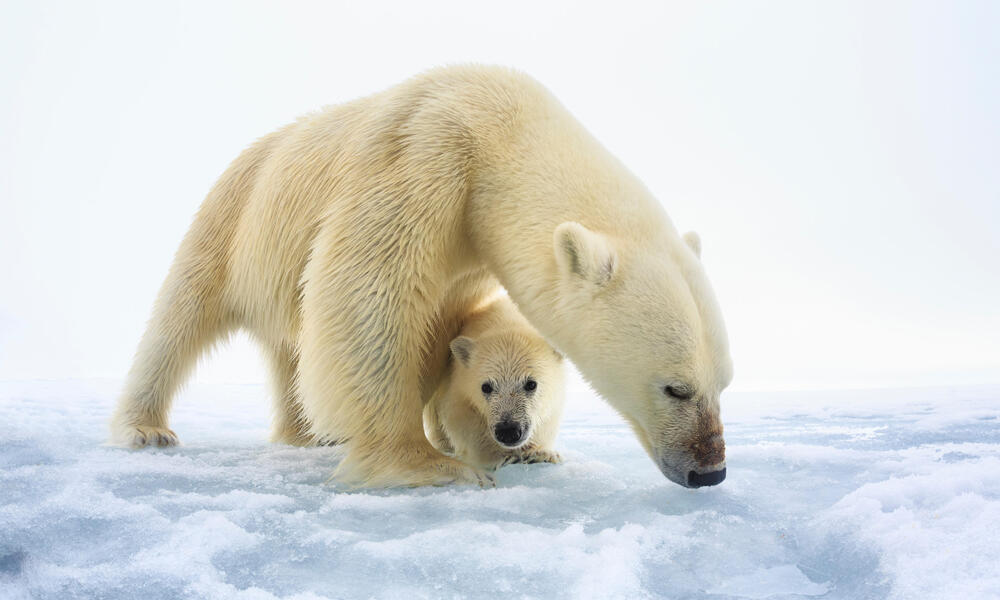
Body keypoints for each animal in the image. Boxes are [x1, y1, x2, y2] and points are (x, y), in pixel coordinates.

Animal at [422, 296, 564, 474]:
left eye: (531, 384)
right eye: (486, 387)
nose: (508, 431)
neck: (506, 321)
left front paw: (541, 453)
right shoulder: (460, 385)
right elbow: (466, 422)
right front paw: (503, 458)